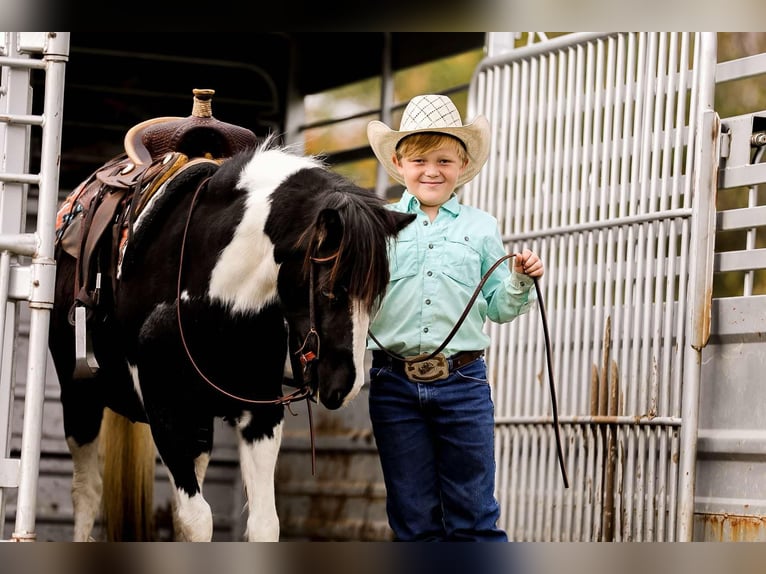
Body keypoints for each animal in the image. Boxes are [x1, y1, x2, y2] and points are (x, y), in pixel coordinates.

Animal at [48, 135, 415, 541]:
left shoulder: (260, 413)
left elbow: (263, 523)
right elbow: (197, 519)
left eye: (376, 295)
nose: (344, 387)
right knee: (87, 490)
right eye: (330, 288)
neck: (218, 298)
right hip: (79, 397)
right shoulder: (165, 409)